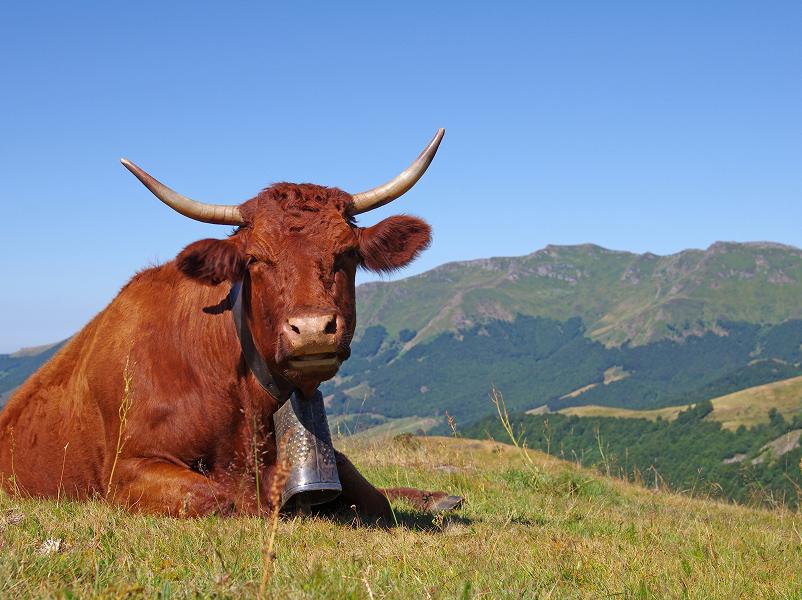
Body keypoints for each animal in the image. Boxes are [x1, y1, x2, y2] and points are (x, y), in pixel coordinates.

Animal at [0, 130, 461, 519]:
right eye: (255, 259)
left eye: (346, 252)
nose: (313, 329)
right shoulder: (125, 468)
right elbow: (220, 499)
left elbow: (371, 495)